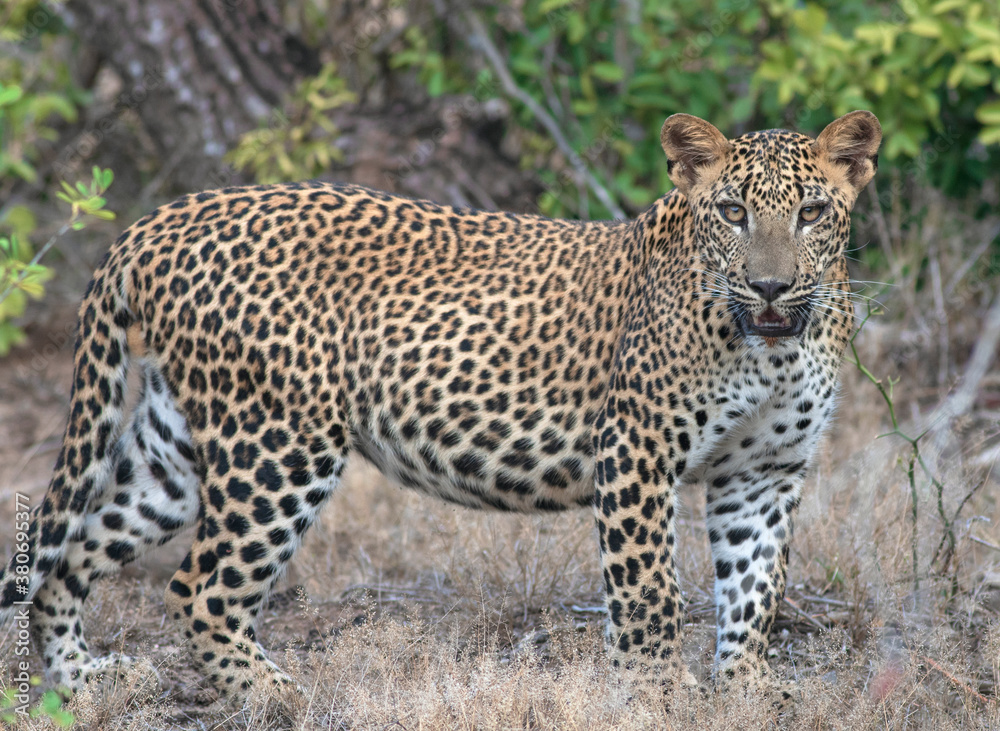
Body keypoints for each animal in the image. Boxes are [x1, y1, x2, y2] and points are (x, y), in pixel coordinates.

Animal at [0, 110, 880, 716]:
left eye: (810, 212)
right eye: (732, 212)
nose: (769, 287)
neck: (771, 347)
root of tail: (158, 220)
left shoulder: (764, 473)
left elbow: (756, 588)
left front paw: (746, 687)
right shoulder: (637, 450)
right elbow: (650, 591)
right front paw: (655, 695)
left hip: (174, 451)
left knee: (73, 554)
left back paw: (84, 684)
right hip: (277, 445)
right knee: (199, 586)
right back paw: (278, 695)